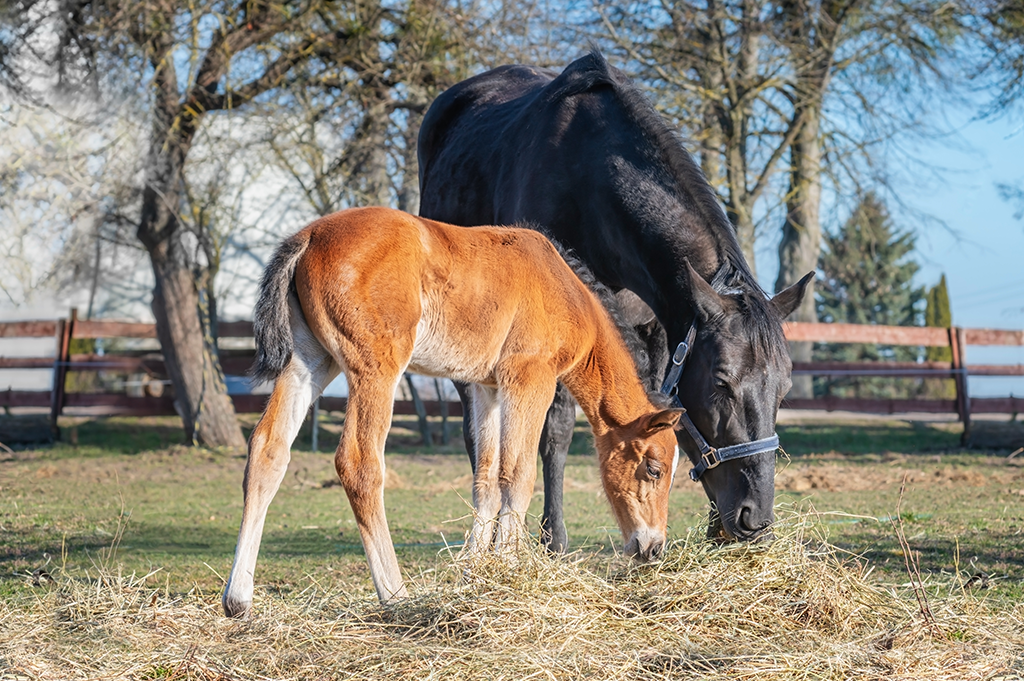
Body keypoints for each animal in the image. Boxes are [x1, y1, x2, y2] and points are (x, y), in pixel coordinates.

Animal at [222, 206, 683, 615]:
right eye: (654, 469)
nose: (653, 547)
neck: (565, 290)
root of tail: (311, 235)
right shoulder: (530, 378)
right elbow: (518, 476)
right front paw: (509, 575)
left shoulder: (486, 388)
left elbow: (487, 480)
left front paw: (475, 575)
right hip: (375, 368)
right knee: (359, 464)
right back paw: (395, 596)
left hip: (310, 361)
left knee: (268, 450)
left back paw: (238, 599)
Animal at [418, 51, 812, 549]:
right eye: (722, 383)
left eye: (784, 388)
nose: (753, 518)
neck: (590, 179)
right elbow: (555, 429)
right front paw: (553, 538)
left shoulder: (660, 331)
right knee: (480, 431)